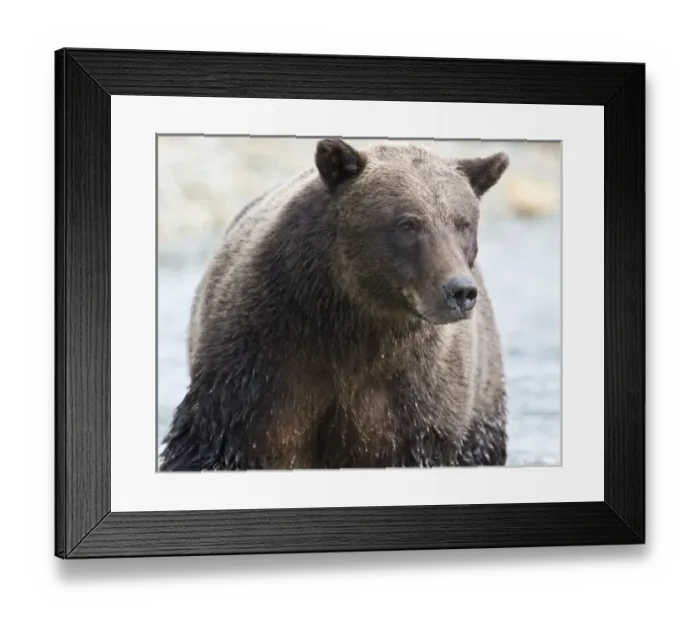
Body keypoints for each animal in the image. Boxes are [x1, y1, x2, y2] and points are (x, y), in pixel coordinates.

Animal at [159, 138, 510, 472]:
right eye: (408, 224)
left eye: (463, 223)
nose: (460, 291)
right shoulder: (260, 365)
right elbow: (212, 443)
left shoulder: (417, 398)